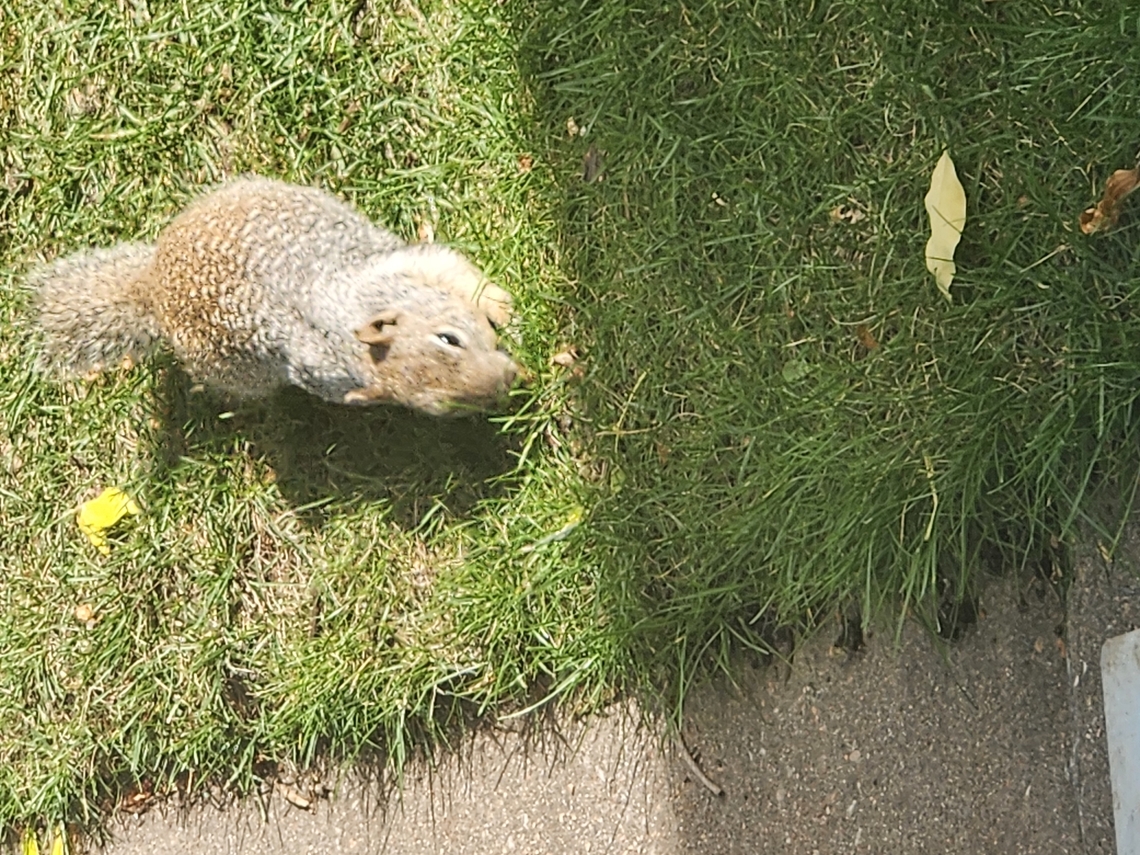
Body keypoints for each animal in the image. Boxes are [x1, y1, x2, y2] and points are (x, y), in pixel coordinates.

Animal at [30, 177, 519, 416]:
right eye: (444, 407)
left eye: (449, 338)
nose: (509, 380)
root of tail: (151, 280)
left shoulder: (397, 266)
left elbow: (458, 273)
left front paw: (502, 306)